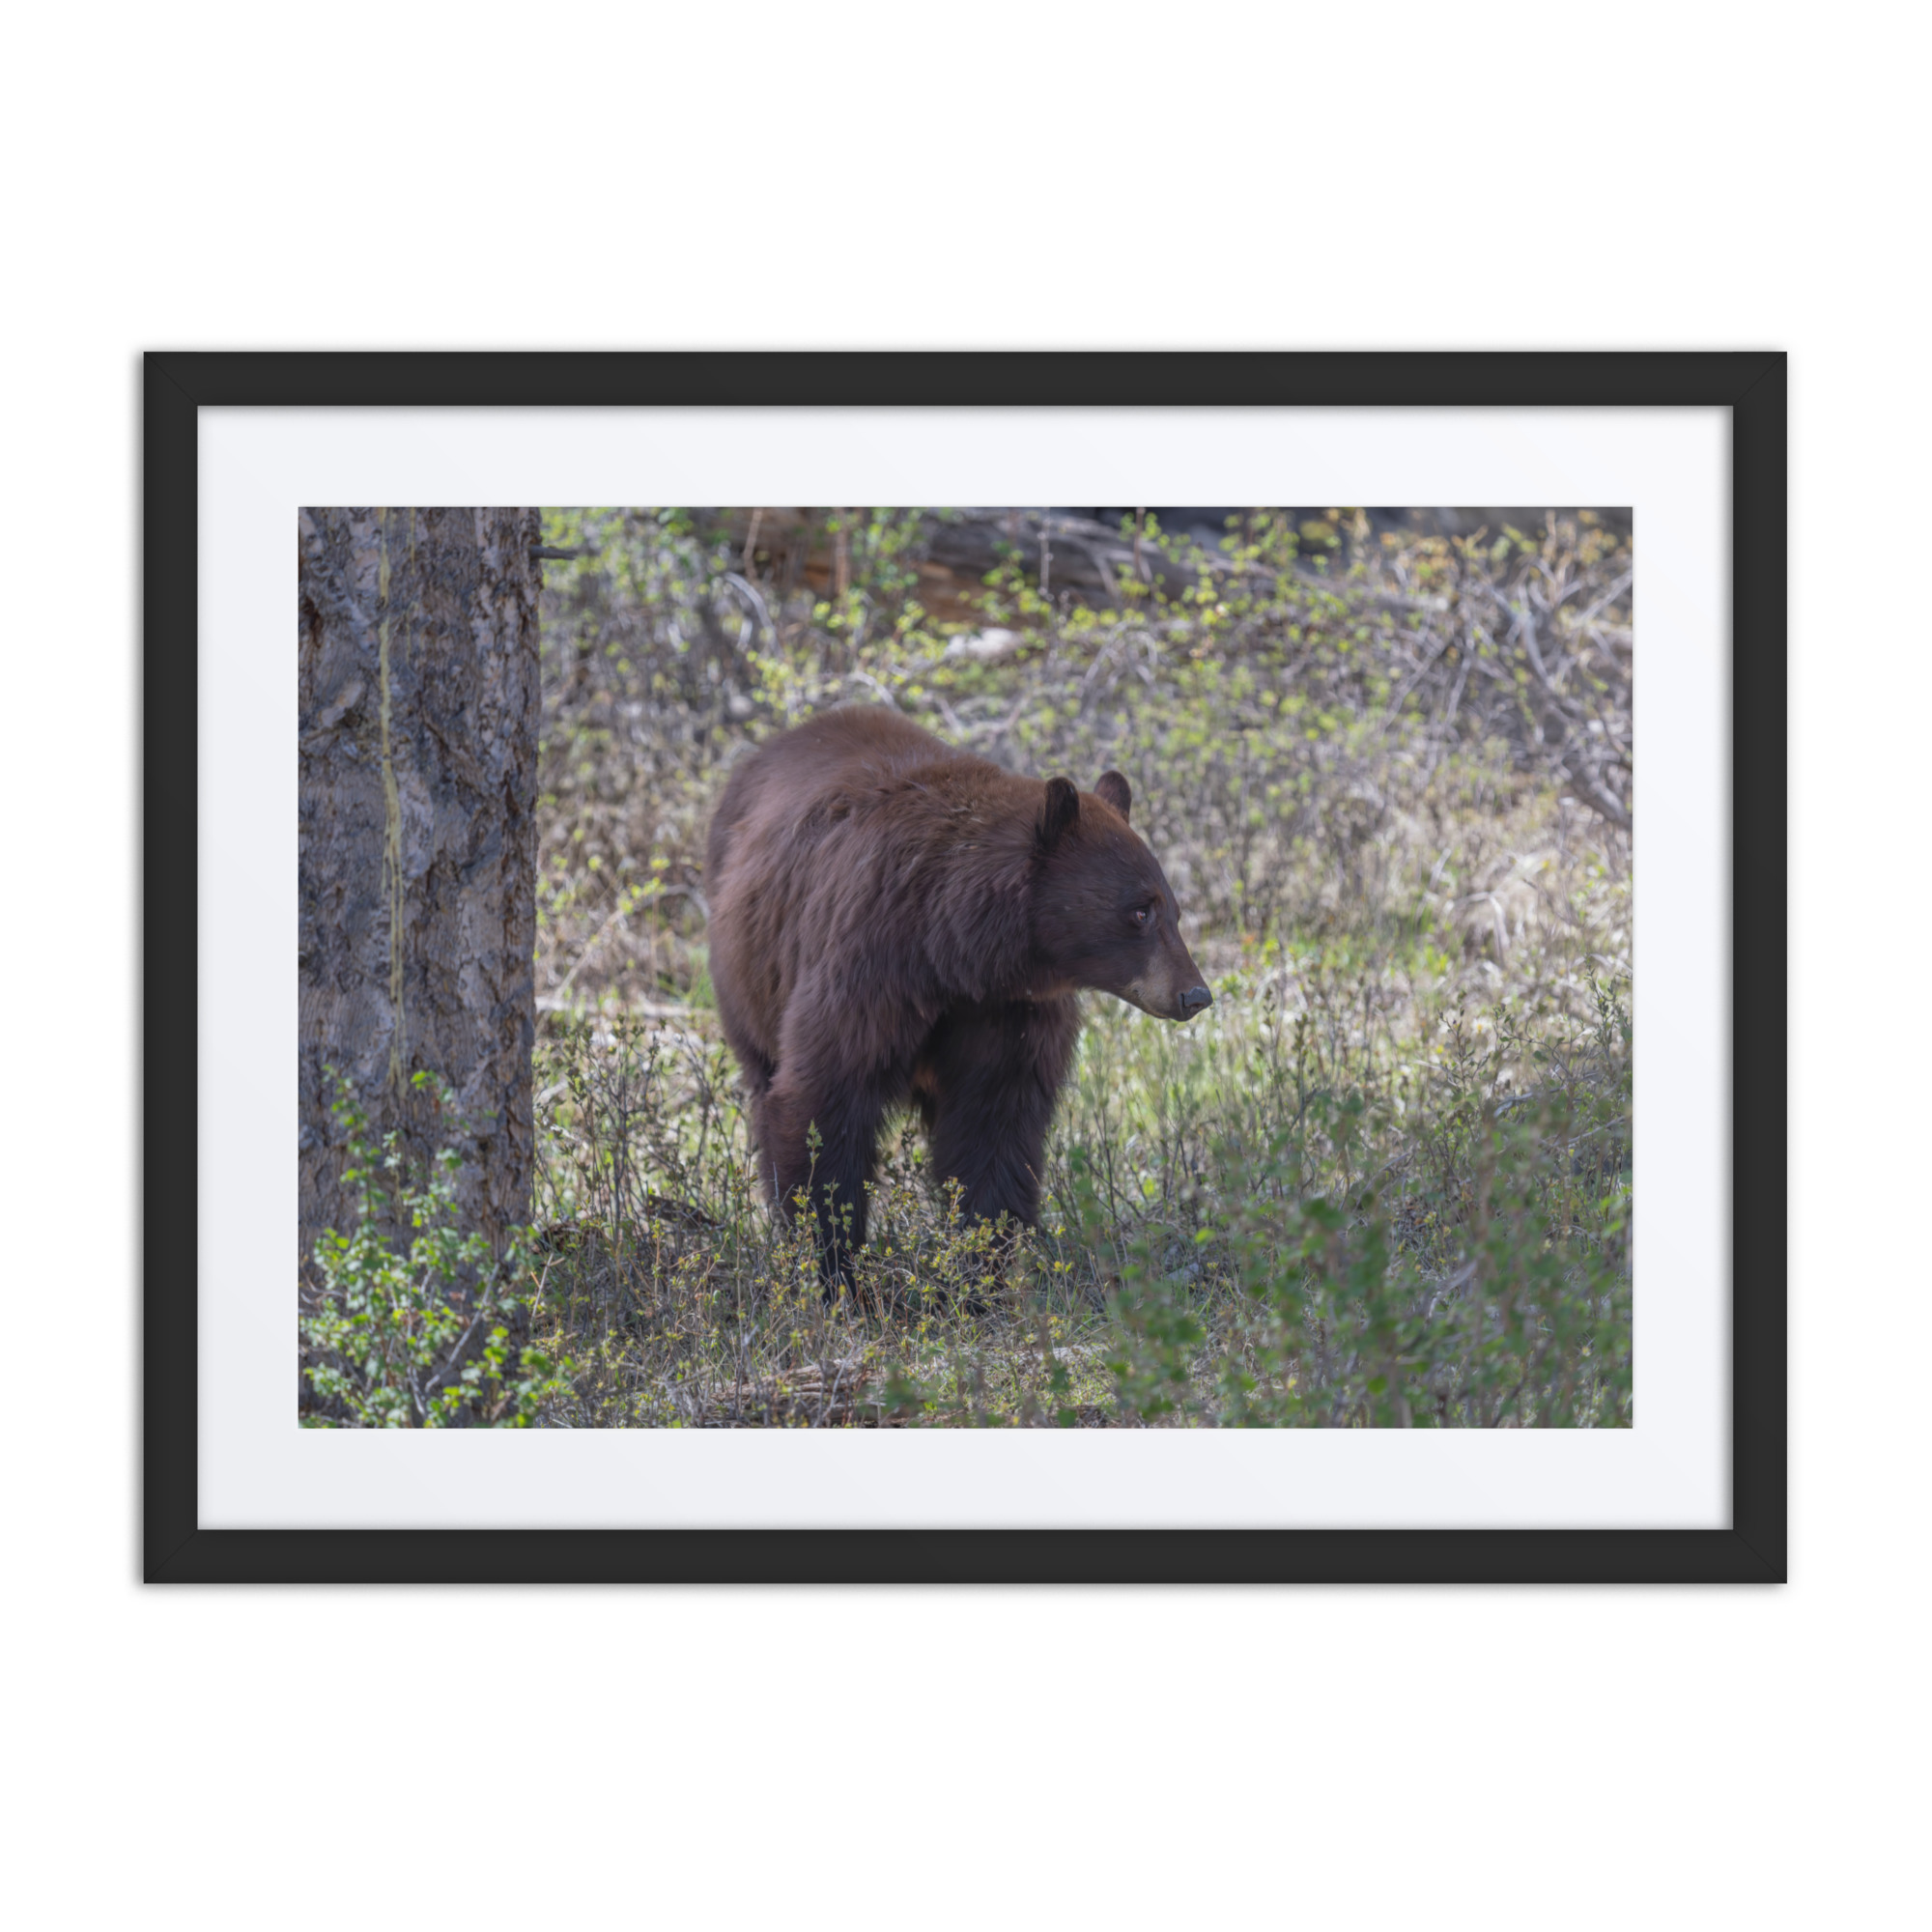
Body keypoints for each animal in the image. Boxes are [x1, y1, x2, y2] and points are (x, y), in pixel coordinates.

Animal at [704, 706, 1212, 1286]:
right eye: (1140, 911)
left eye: (1173, 910)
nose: (1195, 994)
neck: (954, 951)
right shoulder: (868, 965)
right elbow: (824, 1101)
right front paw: (836, 1269)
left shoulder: (1008, 1011)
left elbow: (994, 1127)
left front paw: (981, 1271)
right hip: (748, 977)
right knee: (764, 1080)